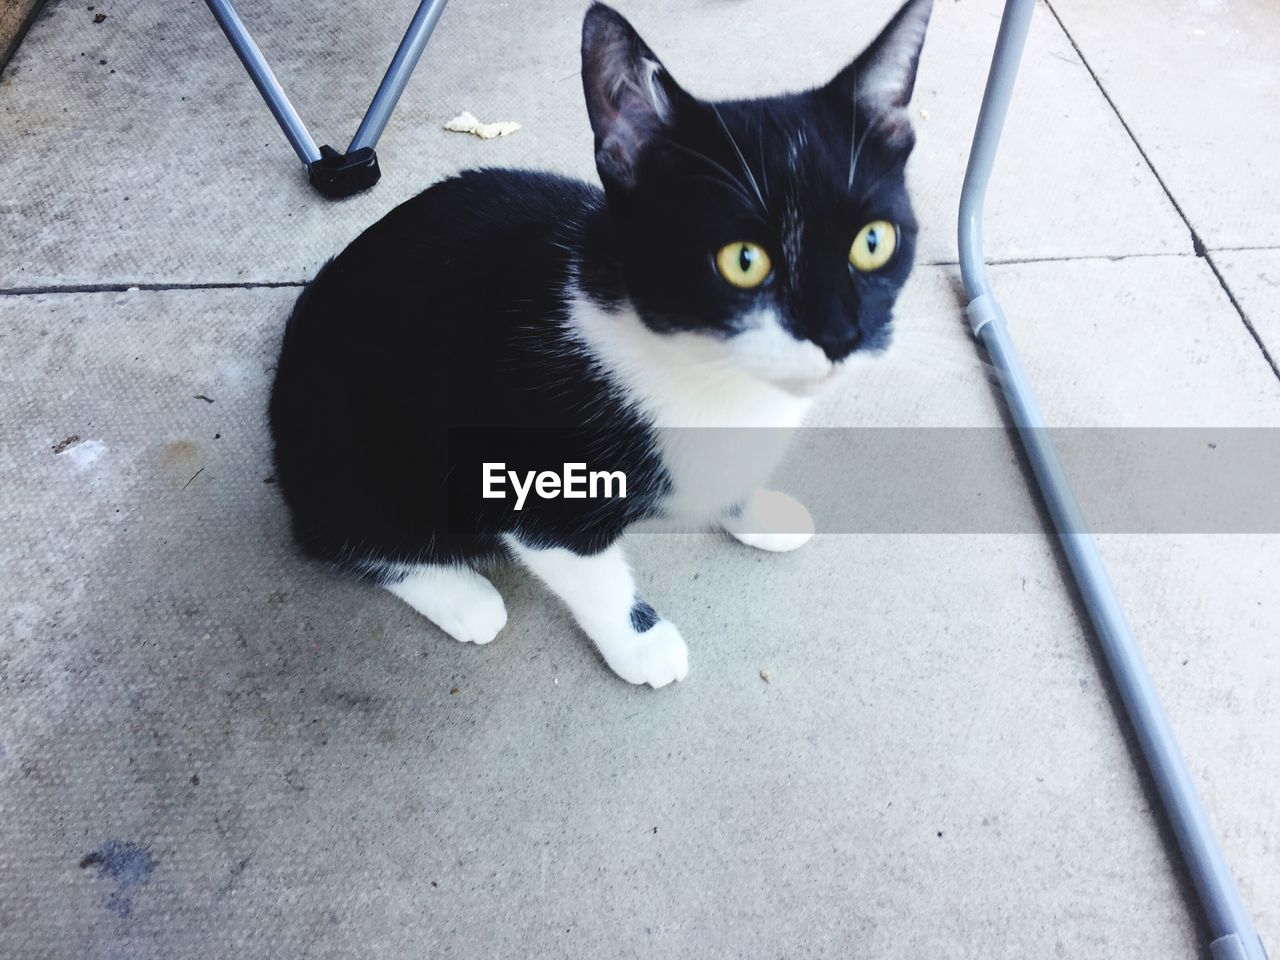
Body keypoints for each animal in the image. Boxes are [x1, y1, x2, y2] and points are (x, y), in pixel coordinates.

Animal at [267, 0, 931, 691]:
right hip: (352, 441)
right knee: (336, 530)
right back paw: (460, 595)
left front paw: (754, 514)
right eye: (742, 260)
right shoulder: (525, 481)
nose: (839, 336)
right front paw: (642, 645)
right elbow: (592, 575)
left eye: (874, 241)